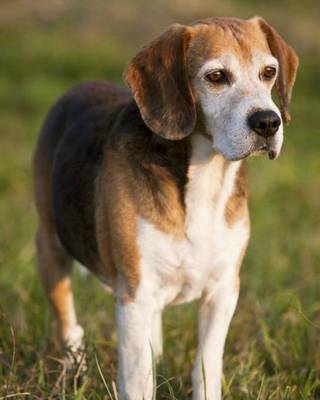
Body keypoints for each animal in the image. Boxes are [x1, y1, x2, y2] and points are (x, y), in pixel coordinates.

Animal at [31, 15, 298, 400]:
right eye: (216, 76)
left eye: (269, 72)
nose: (267, 122)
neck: (205, 180)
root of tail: (77, 88)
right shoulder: (135, 295)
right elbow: (138, 378)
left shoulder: (223, 291)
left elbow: (206, 367)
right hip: (50, 248)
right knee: (69, 323)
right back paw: (74, 366)